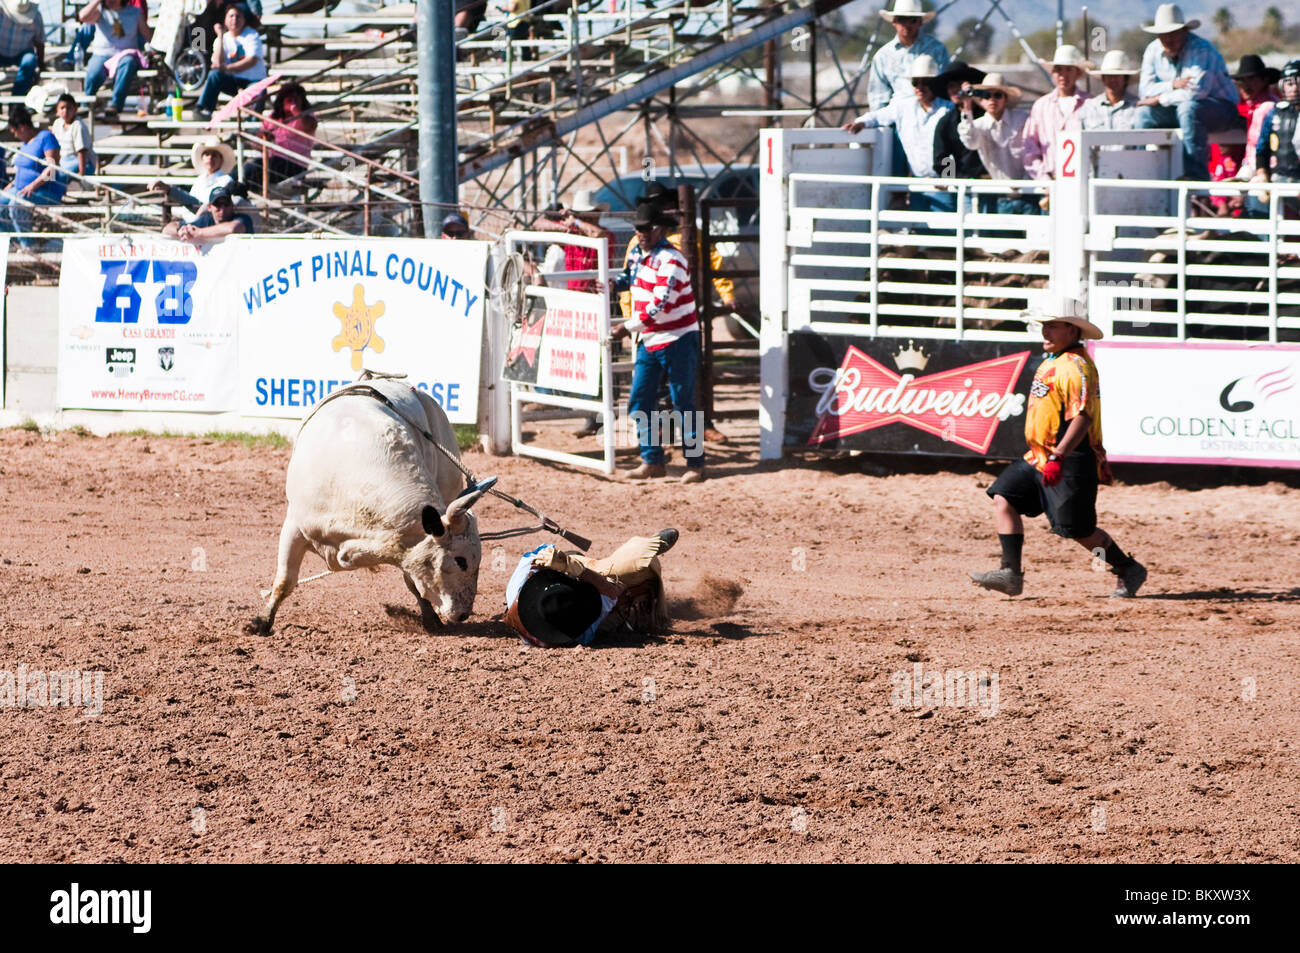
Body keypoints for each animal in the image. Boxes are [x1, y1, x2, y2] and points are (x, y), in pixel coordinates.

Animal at [249, 377, 491, 635]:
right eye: (461, 560)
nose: (464, 614)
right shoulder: (294, 527)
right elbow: (285, 581)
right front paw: (261, 622)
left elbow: (413, 581)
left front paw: (431, 620)